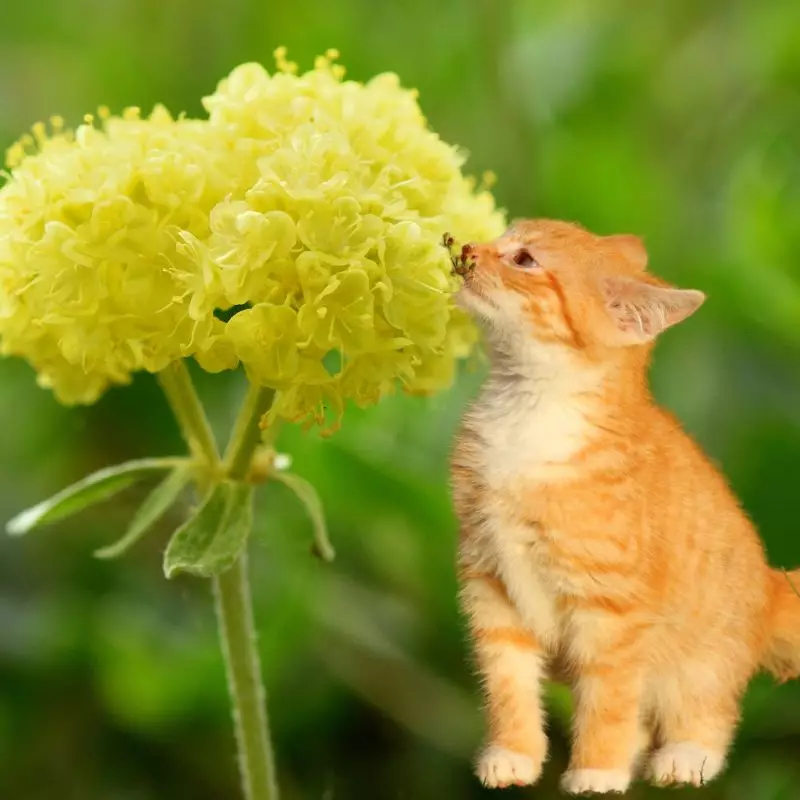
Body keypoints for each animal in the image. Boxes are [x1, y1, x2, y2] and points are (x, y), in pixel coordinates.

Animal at [450, 219, 800, 792]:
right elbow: (507, 682)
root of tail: (770, 588)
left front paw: (596, 770)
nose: (466, 248)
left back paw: (686, 755)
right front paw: (514, 753)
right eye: (502, 237)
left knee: (709, 710)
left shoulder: (612, 609)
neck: (528, 416)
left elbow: (608, 697)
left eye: (524, 259)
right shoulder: (490, 582)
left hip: (701, 659)